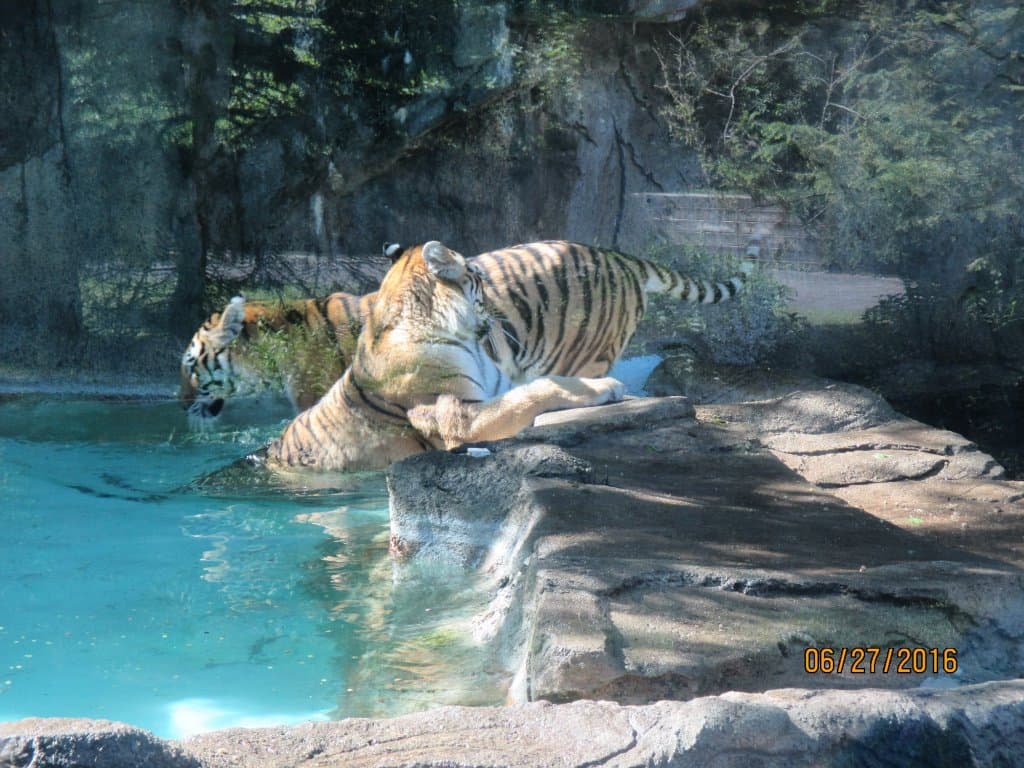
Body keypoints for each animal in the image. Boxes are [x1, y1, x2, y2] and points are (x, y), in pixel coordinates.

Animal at [263, 239, 752, 472]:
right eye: (476, 276)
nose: (497, 309)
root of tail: (617, 257)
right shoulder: (459, 416)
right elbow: (537, 391)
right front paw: (609, 388)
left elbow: (547, 383)